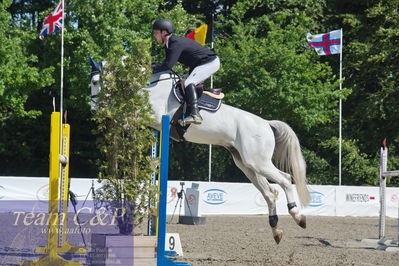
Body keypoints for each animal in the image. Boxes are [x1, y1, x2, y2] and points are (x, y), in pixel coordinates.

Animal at [90, 59, 312, 244]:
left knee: (285, 179)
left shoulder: (153, 114)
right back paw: (276, 231)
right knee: (270, 193)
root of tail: (266, 123)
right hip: (246, 164)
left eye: (94, 81)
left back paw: (298, 216)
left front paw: (118, 120)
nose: (93, 109)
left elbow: (128, 114)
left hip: (258, 162)